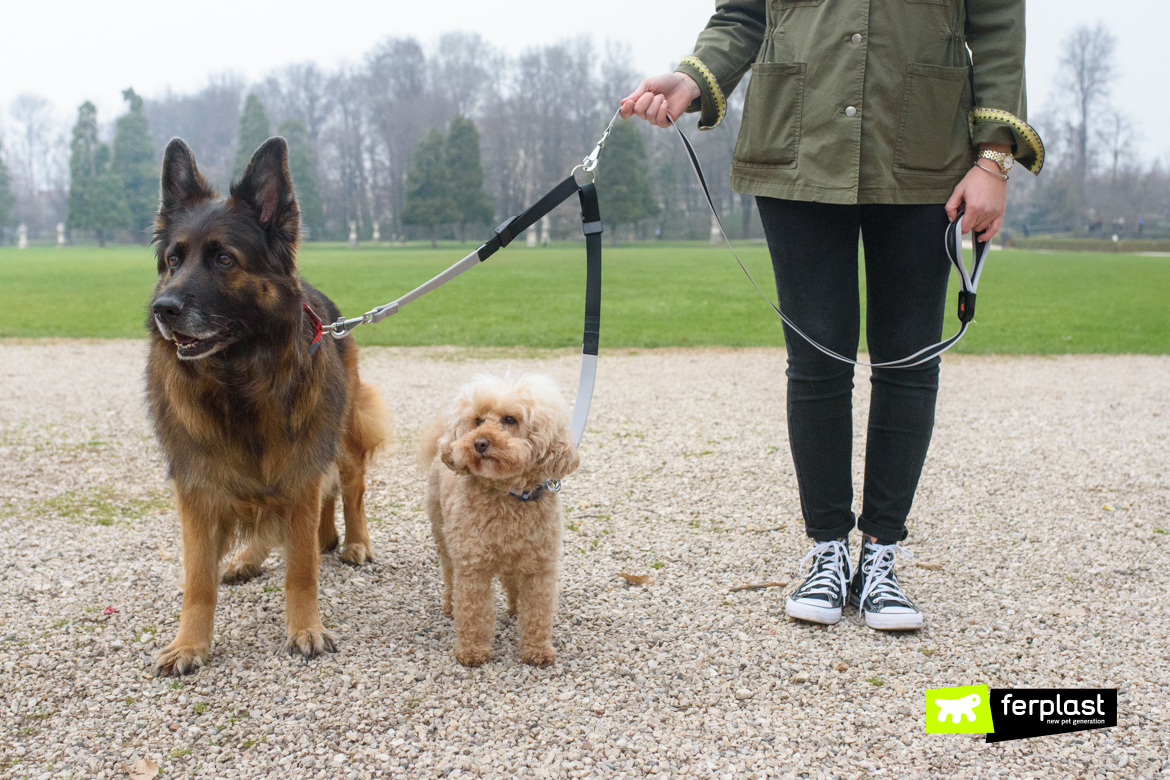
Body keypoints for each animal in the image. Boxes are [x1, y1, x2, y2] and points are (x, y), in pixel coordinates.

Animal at [147, 137, 388, 673]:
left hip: (342, 436)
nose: (163, 310)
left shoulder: (300, 470)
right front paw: (189, 643)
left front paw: (305, 629)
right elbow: (198, 580)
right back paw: (247, 558)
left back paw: (355, 542)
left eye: (224, 259)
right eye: (173, 259)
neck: (239, 383)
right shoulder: (198, 486)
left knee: (351, 489)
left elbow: (301, 569)